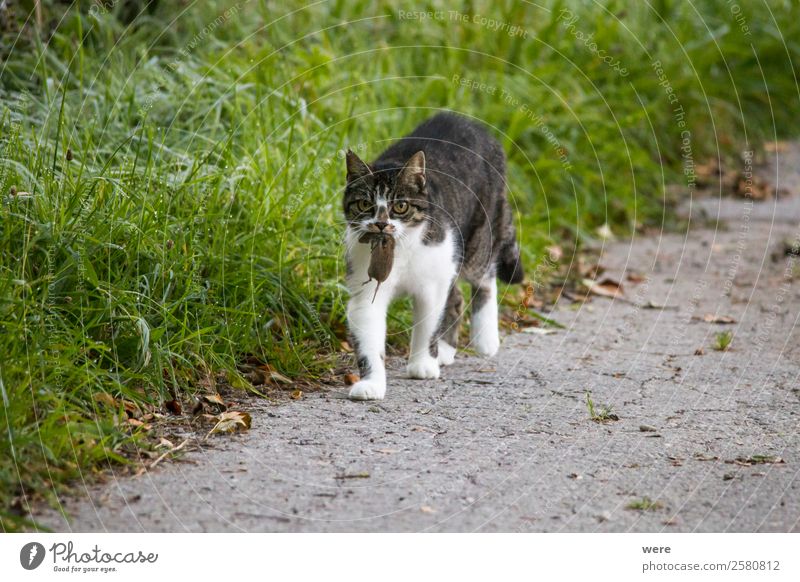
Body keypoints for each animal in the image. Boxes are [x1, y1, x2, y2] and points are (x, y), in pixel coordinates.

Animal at [340, 112, 520, 402]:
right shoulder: (365, 285)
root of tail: (471, 122)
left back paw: (485, 338)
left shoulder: (433, 281)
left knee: (484, 277)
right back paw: (446, 351)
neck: (399, 251)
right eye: (365, 204)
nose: (381, 224)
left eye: (400, 206)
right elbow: (369, 334)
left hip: (479, 235)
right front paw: (371, 383)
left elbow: (428, 323)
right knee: (456, 297)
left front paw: (422, 363)